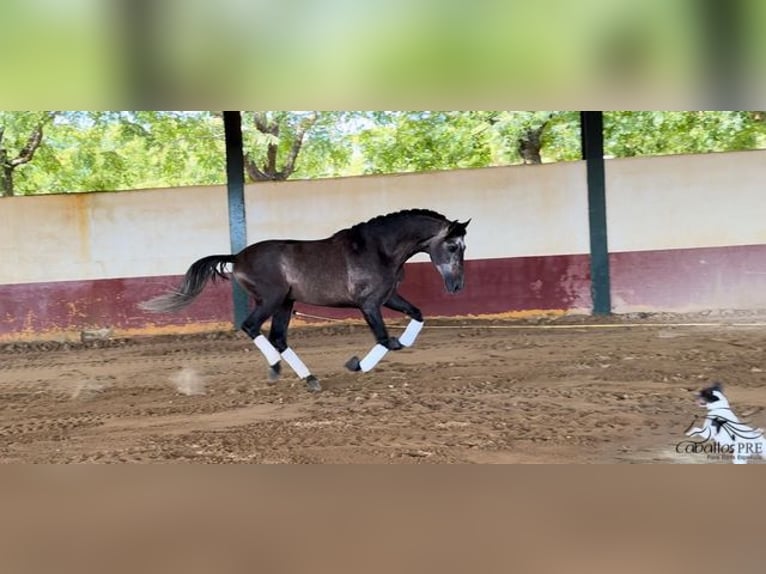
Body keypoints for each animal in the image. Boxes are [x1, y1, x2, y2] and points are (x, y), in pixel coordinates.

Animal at [141, 209, 472, 394]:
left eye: (464, 247)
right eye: (453, 246)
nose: (457, 286)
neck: (379, 249)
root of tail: (237, 257)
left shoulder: (388, 297)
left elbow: (417, 316)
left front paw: (396, 344)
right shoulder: (368, 304)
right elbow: (384, 340)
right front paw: (356, 364)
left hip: (285, 304)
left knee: (278, 337)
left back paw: (309, 379)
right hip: (271, 299)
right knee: (251, 327)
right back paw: (277, 369)